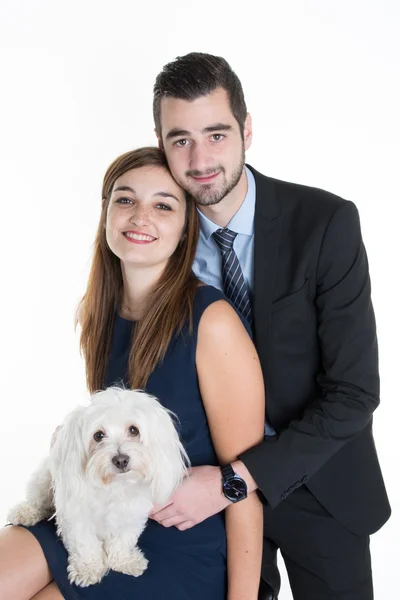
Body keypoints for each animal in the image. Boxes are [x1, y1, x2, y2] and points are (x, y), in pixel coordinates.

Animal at [7, 386, 189, 588]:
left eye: (134, 430)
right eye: (98, 435)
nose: (121, 460)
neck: (114, 486)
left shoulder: (131, 516)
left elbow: (122, 541)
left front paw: (124, 561)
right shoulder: (76, 517)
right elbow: (85, 544)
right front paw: (88, 568)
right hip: (45, 479)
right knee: (38, 500)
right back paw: (26, 512)